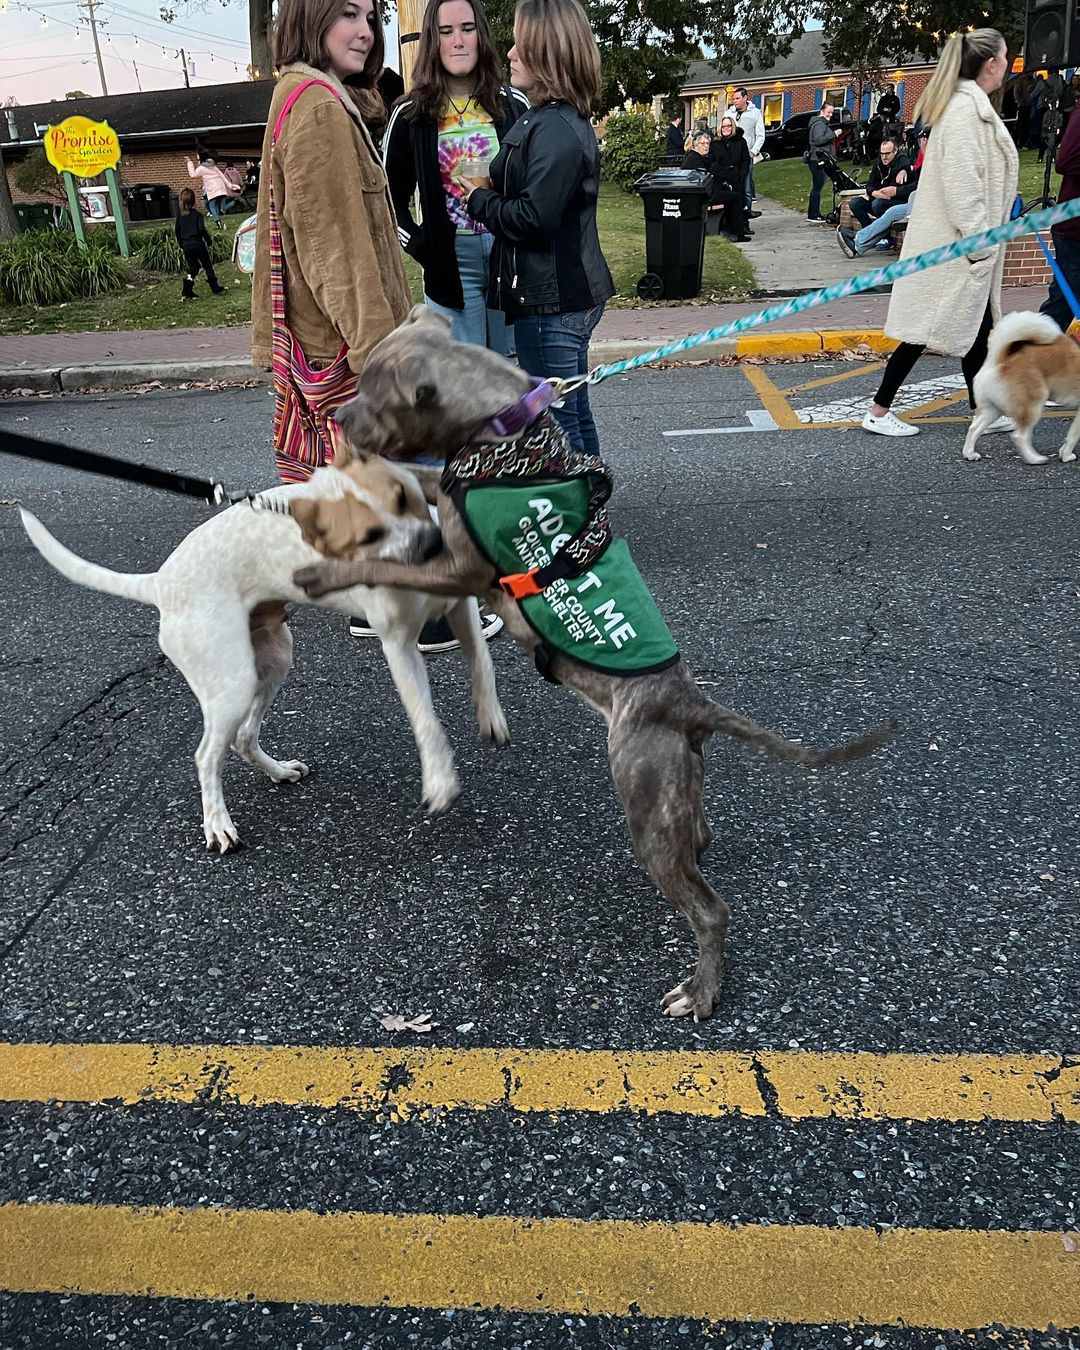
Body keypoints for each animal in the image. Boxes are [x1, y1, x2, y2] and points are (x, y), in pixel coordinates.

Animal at [21, 456, 507, 853]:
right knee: (207, 755)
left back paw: (278, 772)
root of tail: (161, 582)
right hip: (233, 682)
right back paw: (218, 824)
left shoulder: (460, 606)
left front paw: (491, 718)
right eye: (370, 534)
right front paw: (440, 780)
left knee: (242, 737)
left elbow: (483, 664)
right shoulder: (399, 644)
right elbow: (426, 720)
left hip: (273, 660)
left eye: (404, 495)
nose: (434, 547)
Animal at [291, 309, 891, 1020]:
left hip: (643, 794)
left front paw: (323, 571)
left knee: (710, 910)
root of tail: (689, 704)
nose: (338, 418)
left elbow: (387, 564)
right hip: (676, 789)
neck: (502, 430)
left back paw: (701, 990)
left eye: (375, 398)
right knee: (698, 841)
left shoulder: (458, 568)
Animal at [961, 310, 1080, 464]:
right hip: (1032, 404)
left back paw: (969, 453)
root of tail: (999, 362)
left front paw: (1065, 454)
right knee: (1020, 436)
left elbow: (1073, 434)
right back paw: (1034, 459)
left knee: (974, 428)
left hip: (993, 408)